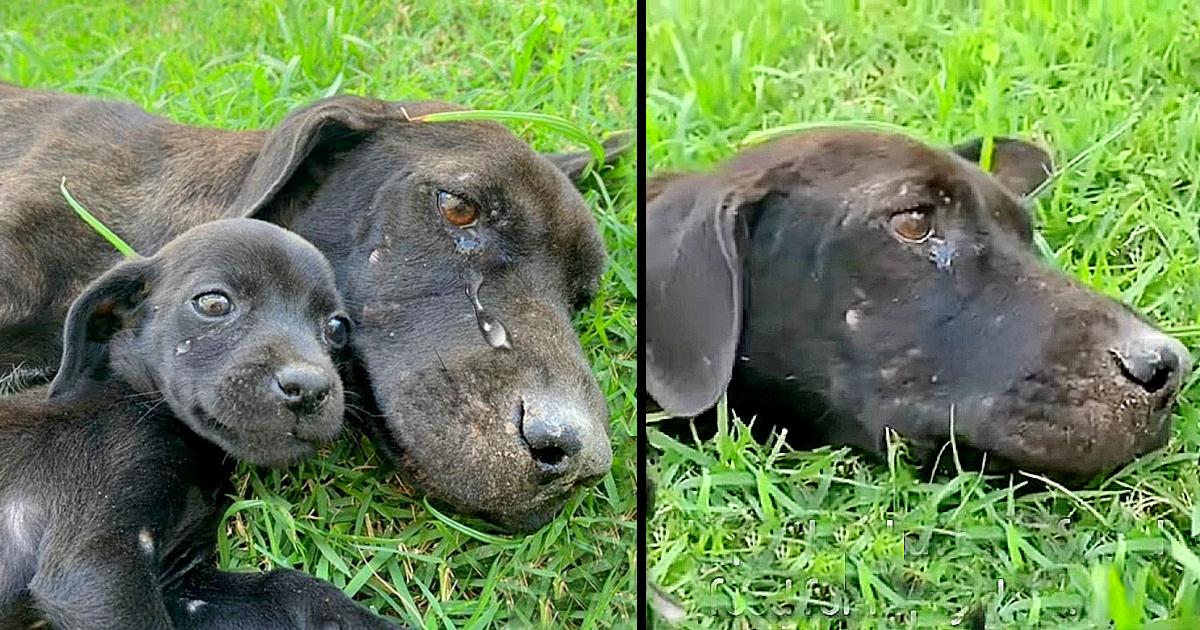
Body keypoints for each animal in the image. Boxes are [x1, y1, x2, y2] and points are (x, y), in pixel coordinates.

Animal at [0, 219, 403, 628]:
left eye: (337, 327)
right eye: (214, 303)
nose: (308, 388)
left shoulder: (182, 583)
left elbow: (290, 587)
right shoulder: (95, 563)